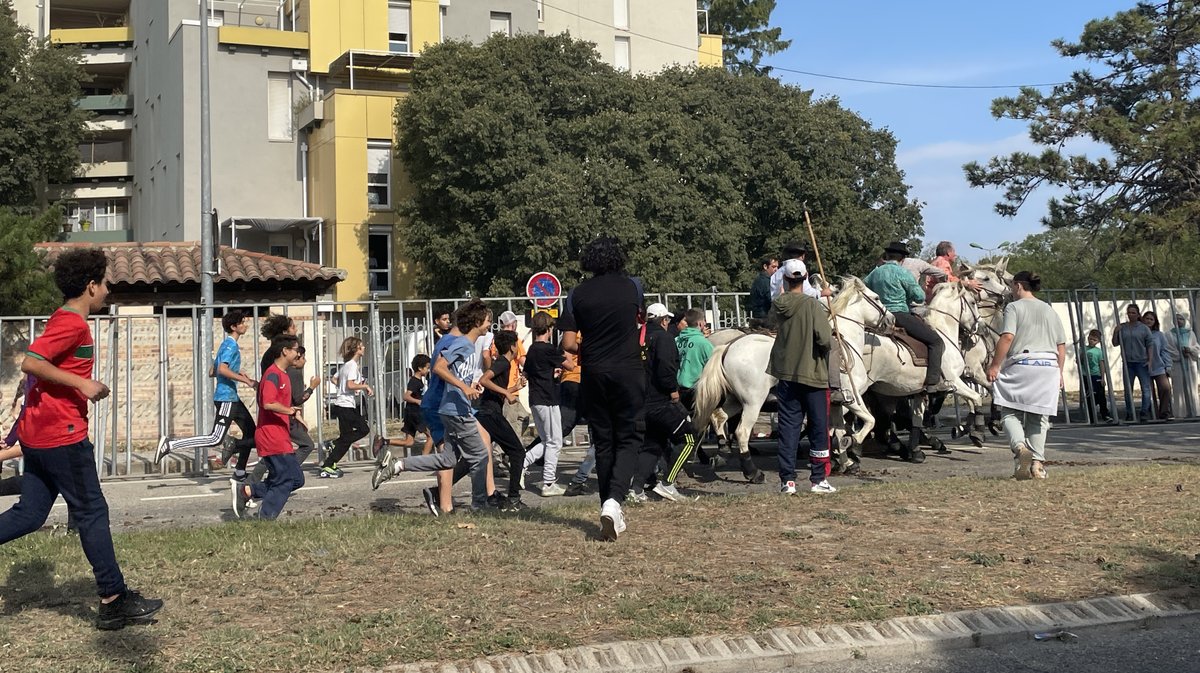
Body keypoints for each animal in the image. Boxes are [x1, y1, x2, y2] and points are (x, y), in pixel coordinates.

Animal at [691, 278, 897, 482]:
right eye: (876, 298)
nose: (891, 320)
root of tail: (728, 347)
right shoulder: (853, 399)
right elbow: (869, 421)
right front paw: (852, 444)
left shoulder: (836, 404)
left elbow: (837, 431)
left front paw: (846, 461)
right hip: (753, 402)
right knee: (741, 431)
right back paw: (753, 473)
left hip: (735, 399)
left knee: (719, 417)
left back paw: (722, 452)